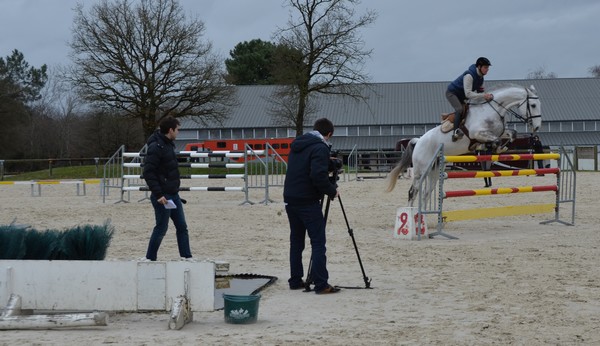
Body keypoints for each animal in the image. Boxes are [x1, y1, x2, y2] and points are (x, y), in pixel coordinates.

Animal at [386, 84, 540, 205]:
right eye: (533, 105)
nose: (537, 127)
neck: (493, 110)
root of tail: (418, 141)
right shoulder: (477, 133)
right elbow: (495, 140)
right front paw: (493, 147)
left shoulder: (499, 132)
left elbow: (512, 133)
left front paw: (501, 148)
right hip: (420, 171)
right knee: (413, 192)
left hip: (433, 171)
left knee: (425, 193)